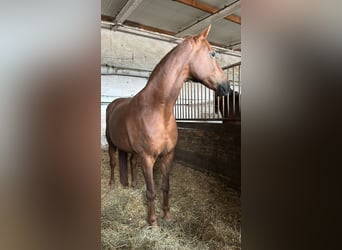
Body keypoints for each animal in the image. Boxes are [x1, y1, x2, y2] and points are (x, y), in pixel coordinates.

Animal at [106, 25, 230, 227]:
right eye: (212, 54)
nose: (227, 87)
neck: (158, 110)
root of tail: (114, 103)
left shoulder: (168, 155)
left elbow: (165, 186)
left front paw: (167, 215)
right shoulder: (147, 158)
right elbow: (151, 191)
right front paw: (153, 222)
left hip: (133, 151)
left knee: (131, 162)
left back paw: (133, 184)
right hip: (112, 145)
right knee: (113, 163)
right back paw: (111, 186)